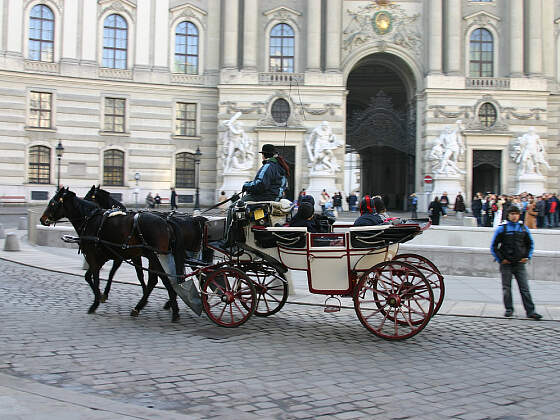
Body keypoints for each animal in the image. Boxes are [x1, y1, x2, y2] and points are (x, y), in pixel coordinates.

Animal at [42, 187, 186, 322]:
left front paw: (96, 302)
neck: (90, 219)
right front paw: (101, 295)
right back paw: (160, 306)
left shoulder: (96, 256)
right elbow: (93, 276)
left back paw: (162, 308)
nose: (42, 219)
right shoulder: (106, 257)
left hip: (155, 256)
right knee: (160, 279)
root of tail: (166, 222)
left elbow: (96, 278)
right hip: (157, 256)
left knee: (161, 279)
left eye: (52, 203)